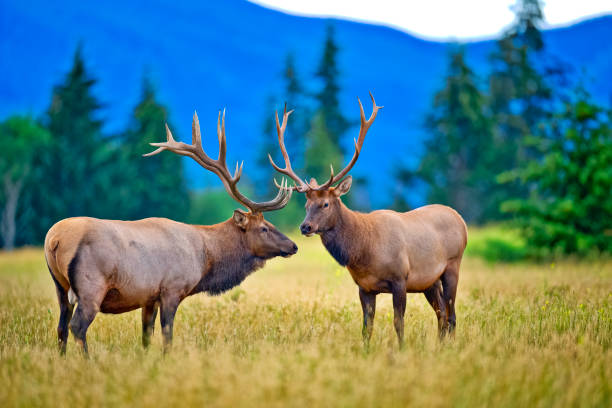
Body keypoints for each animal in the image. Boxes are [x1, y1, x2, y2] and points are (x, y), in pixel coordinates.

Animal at [44, 108, 298, 354]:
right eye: (264, 228)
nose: (293, 245)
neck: (205, 258)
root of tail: (54, 240)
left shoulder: (149, 298)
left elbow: (146, 336)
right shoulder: (172, 289)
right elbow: (167, 336)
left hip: (60, 288)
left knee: (61, 328)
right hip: (91, 286)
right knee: (77, 327)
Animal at [268, 93, 468, 348]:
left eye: (326, 204)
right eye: (306, 205)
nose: (305, 226)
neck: (364, 251)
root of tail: (460, 219)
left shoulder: (400, 279)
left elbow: (398, 322)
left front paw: (402, 349)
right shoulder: (364, 287)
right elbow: (366, 328)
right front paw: (366, 350)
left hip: (453, 265)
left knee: (451, 314)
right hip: (429, 282)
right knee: (441, 312)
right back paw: (440, 345)